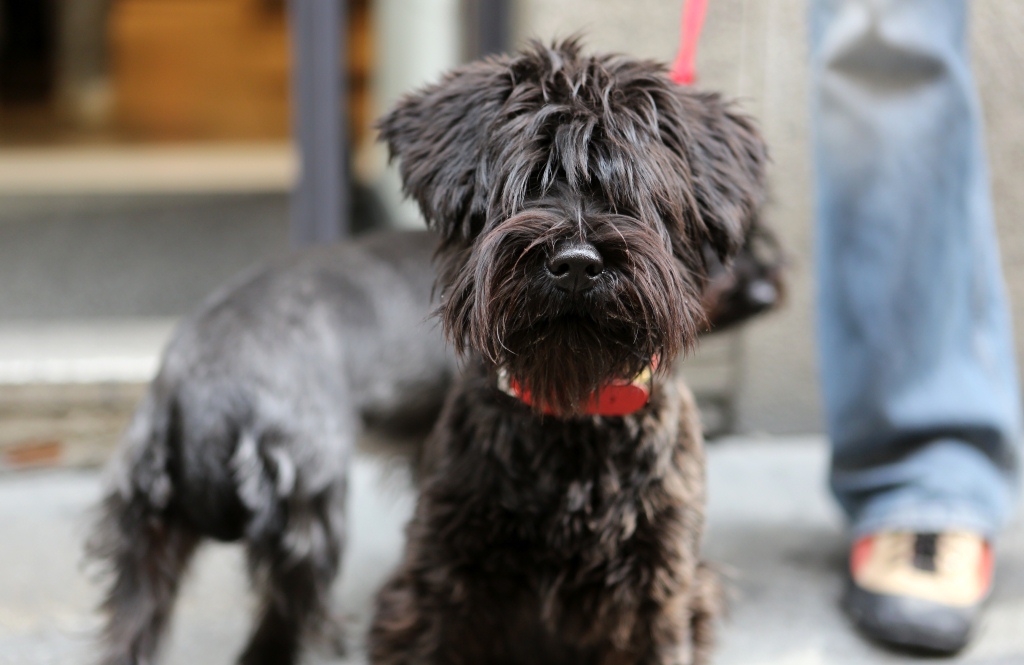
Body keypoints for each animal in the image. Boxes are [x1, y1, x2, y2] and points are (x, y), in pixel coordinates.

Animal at [367, 39, 768, 665]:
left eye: (638, 195)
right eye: (527, 182)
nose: (578, 263)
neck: (572, 416)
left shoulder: (656, 595)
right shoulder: (443, 587)